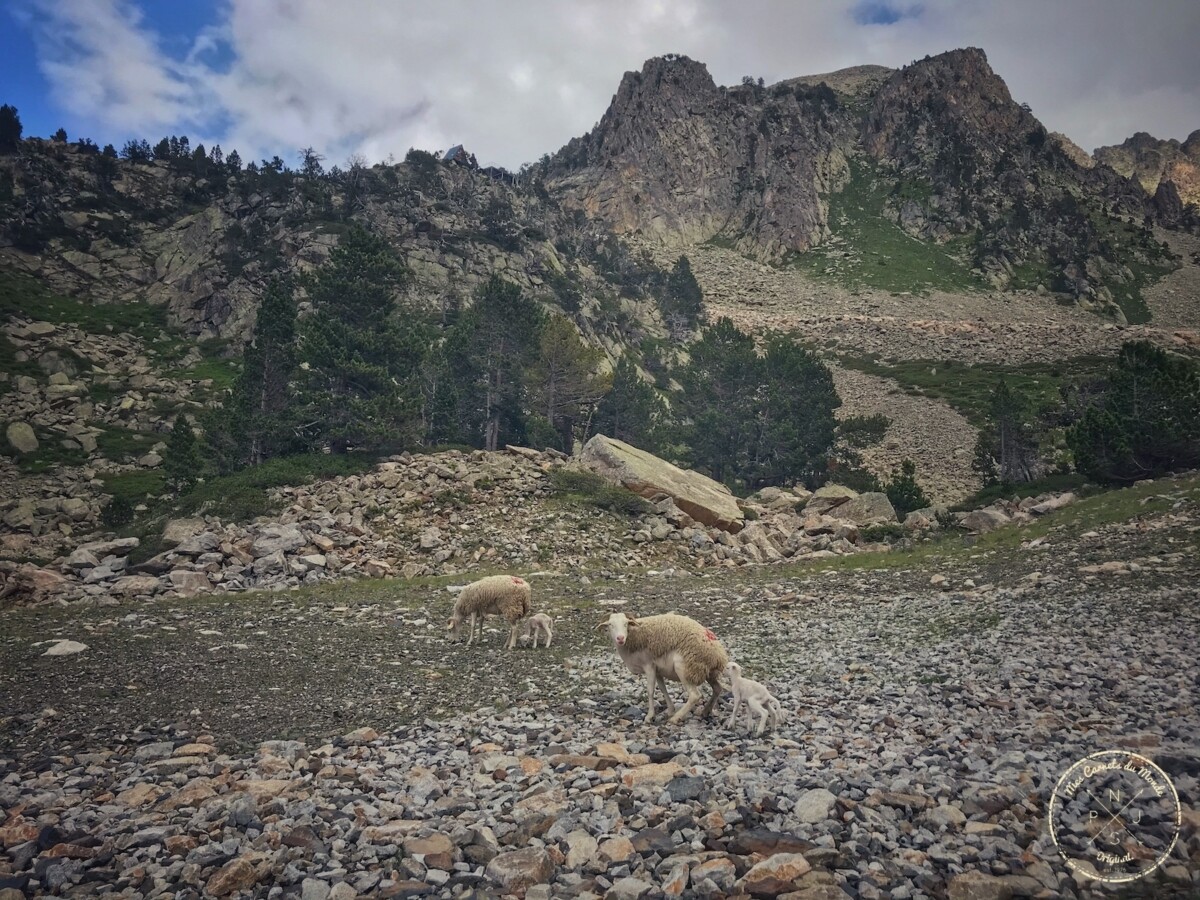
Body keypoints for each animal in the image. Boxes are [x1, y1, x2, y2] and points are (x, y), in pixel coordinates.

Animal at [600, 614, 729, 724]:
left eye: (626, 624)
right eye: (610, 625)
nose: (620, 638)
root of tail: (719, 654)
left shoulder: (648, 665)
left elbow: (650, 690)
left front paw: (650, 716)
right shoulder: (657, 670)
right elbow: (663, 688)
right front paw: (670, 709)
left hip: (685, 667)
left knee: (695, 696)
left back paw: (676, 718)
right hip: (707, 671)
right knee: (718, 688)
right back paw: (706, 711)